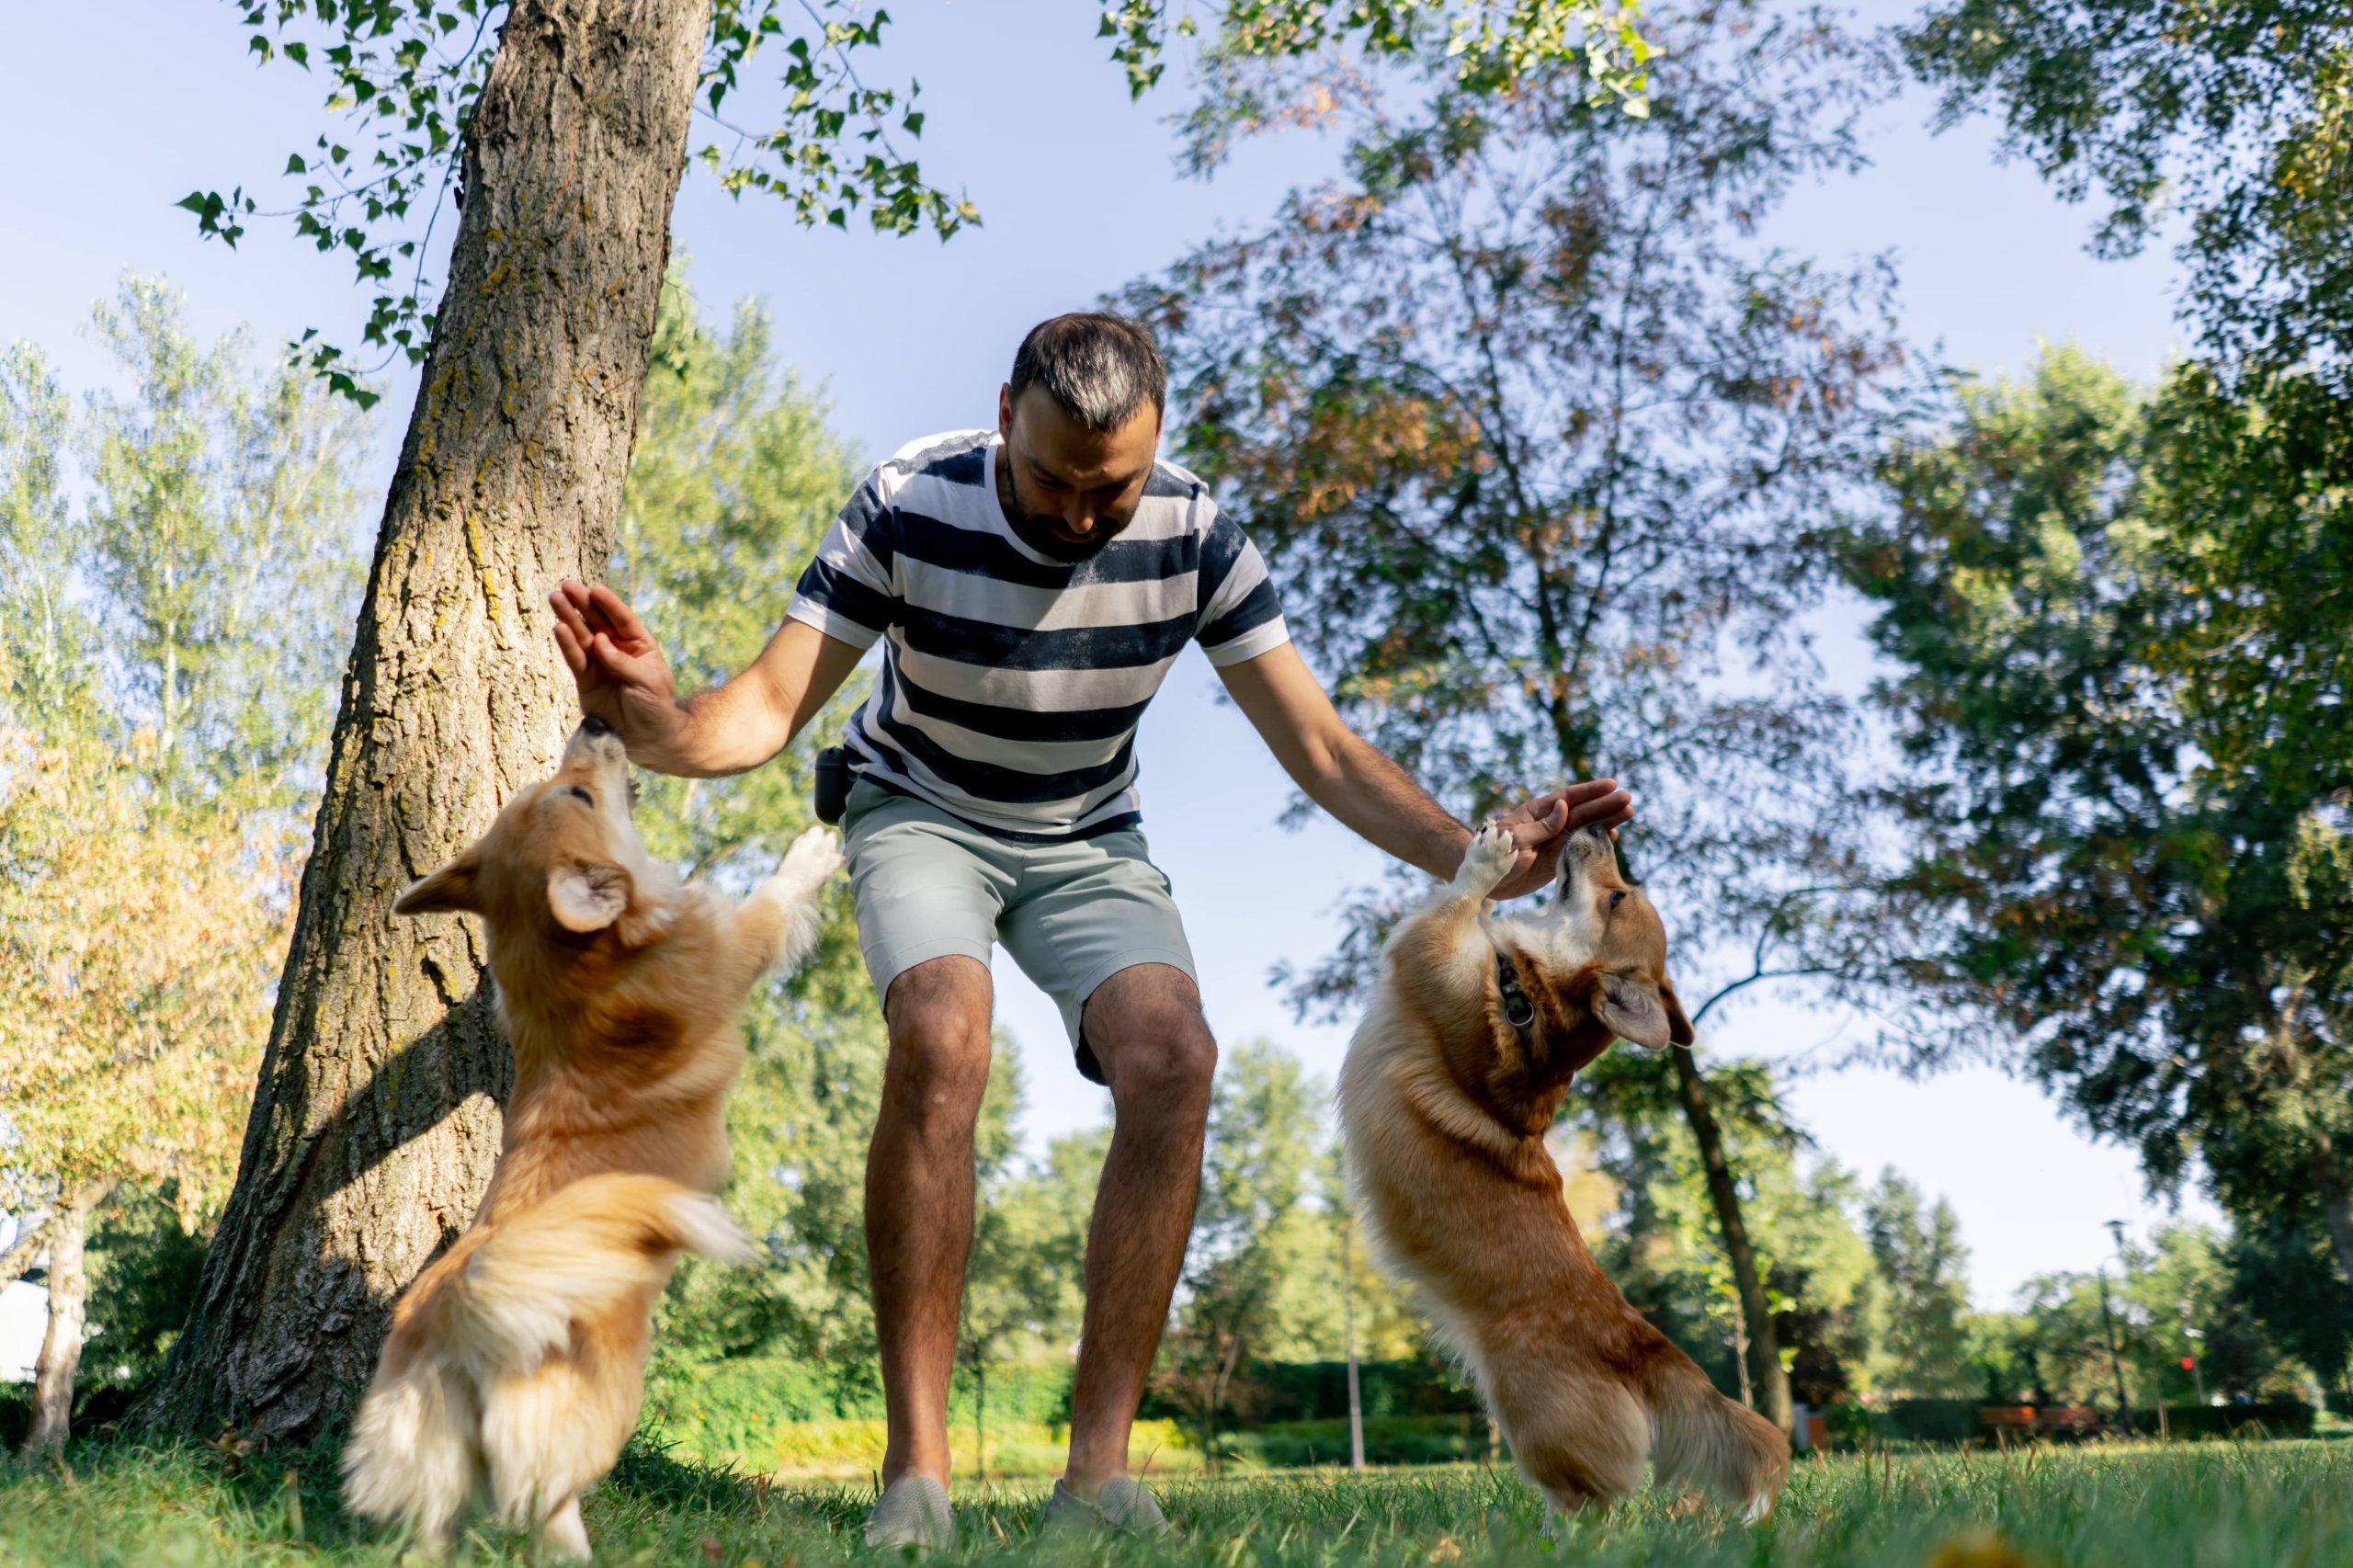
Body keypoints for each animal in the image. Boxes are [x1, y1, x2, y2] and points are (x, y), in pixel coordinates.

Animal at [341, 715, 837, 1553]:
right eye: (577, 794)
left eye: (546, 788)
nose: (598, 722)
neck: (573, 978)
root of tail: (457, 1319)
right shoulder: (738, 945)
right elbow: (775, 896)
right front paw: (814, 848)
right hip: (592, 1426)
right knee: (542, 1511)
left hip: (428, 1468)